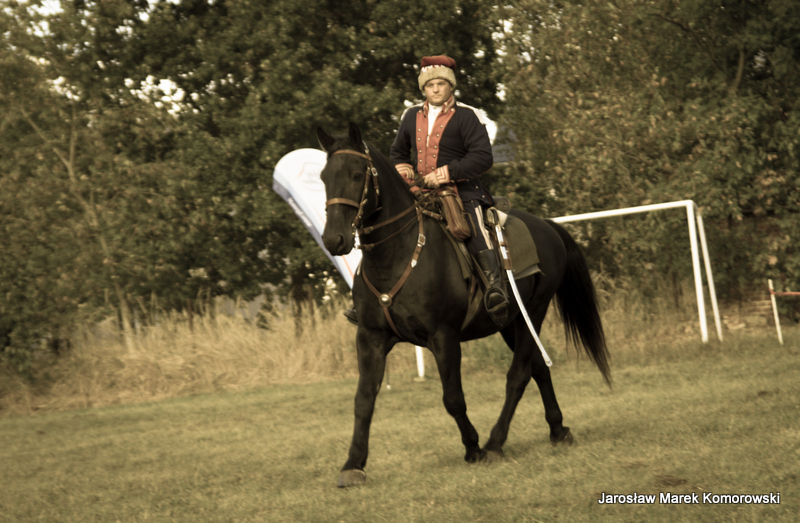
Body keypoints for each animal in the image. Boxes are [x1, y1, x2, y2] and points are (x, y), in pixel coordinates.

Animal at [316, 123, 610, 488]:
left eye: (357, 175)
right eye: (324, 177)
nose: (333, 239)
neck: (397, 255)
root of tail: (547, 226)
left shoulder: (444, 337)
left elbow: (453, 398)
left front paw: (473, 448)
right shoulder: (370, 338)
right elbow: (363, 400)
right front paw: (353, 464)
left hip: (535, 312)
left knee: (518, 376)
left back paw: (495, 443)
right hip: (511, 322)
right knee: (538, 370)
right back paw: (557, 429)